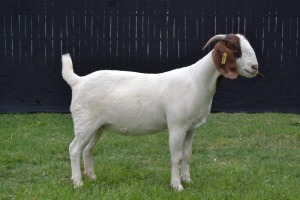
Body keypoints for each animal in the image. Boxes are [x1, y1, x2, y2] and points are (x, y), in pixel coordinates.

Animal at [62, 33, 262, 191]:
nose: (255, 67)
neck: (197, 80)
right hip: (85, 123)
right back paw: (78, 182)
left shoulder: (191, 128)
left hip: (98, 126)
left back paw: (91, 177)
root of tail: (77, 81)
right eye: (235, 47)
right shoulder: (177, 125)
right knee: (74, 149)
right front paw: (177, 186)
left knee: (87, 149)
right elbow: (177, 157)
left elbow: (187, 155)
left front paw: (187, 180)